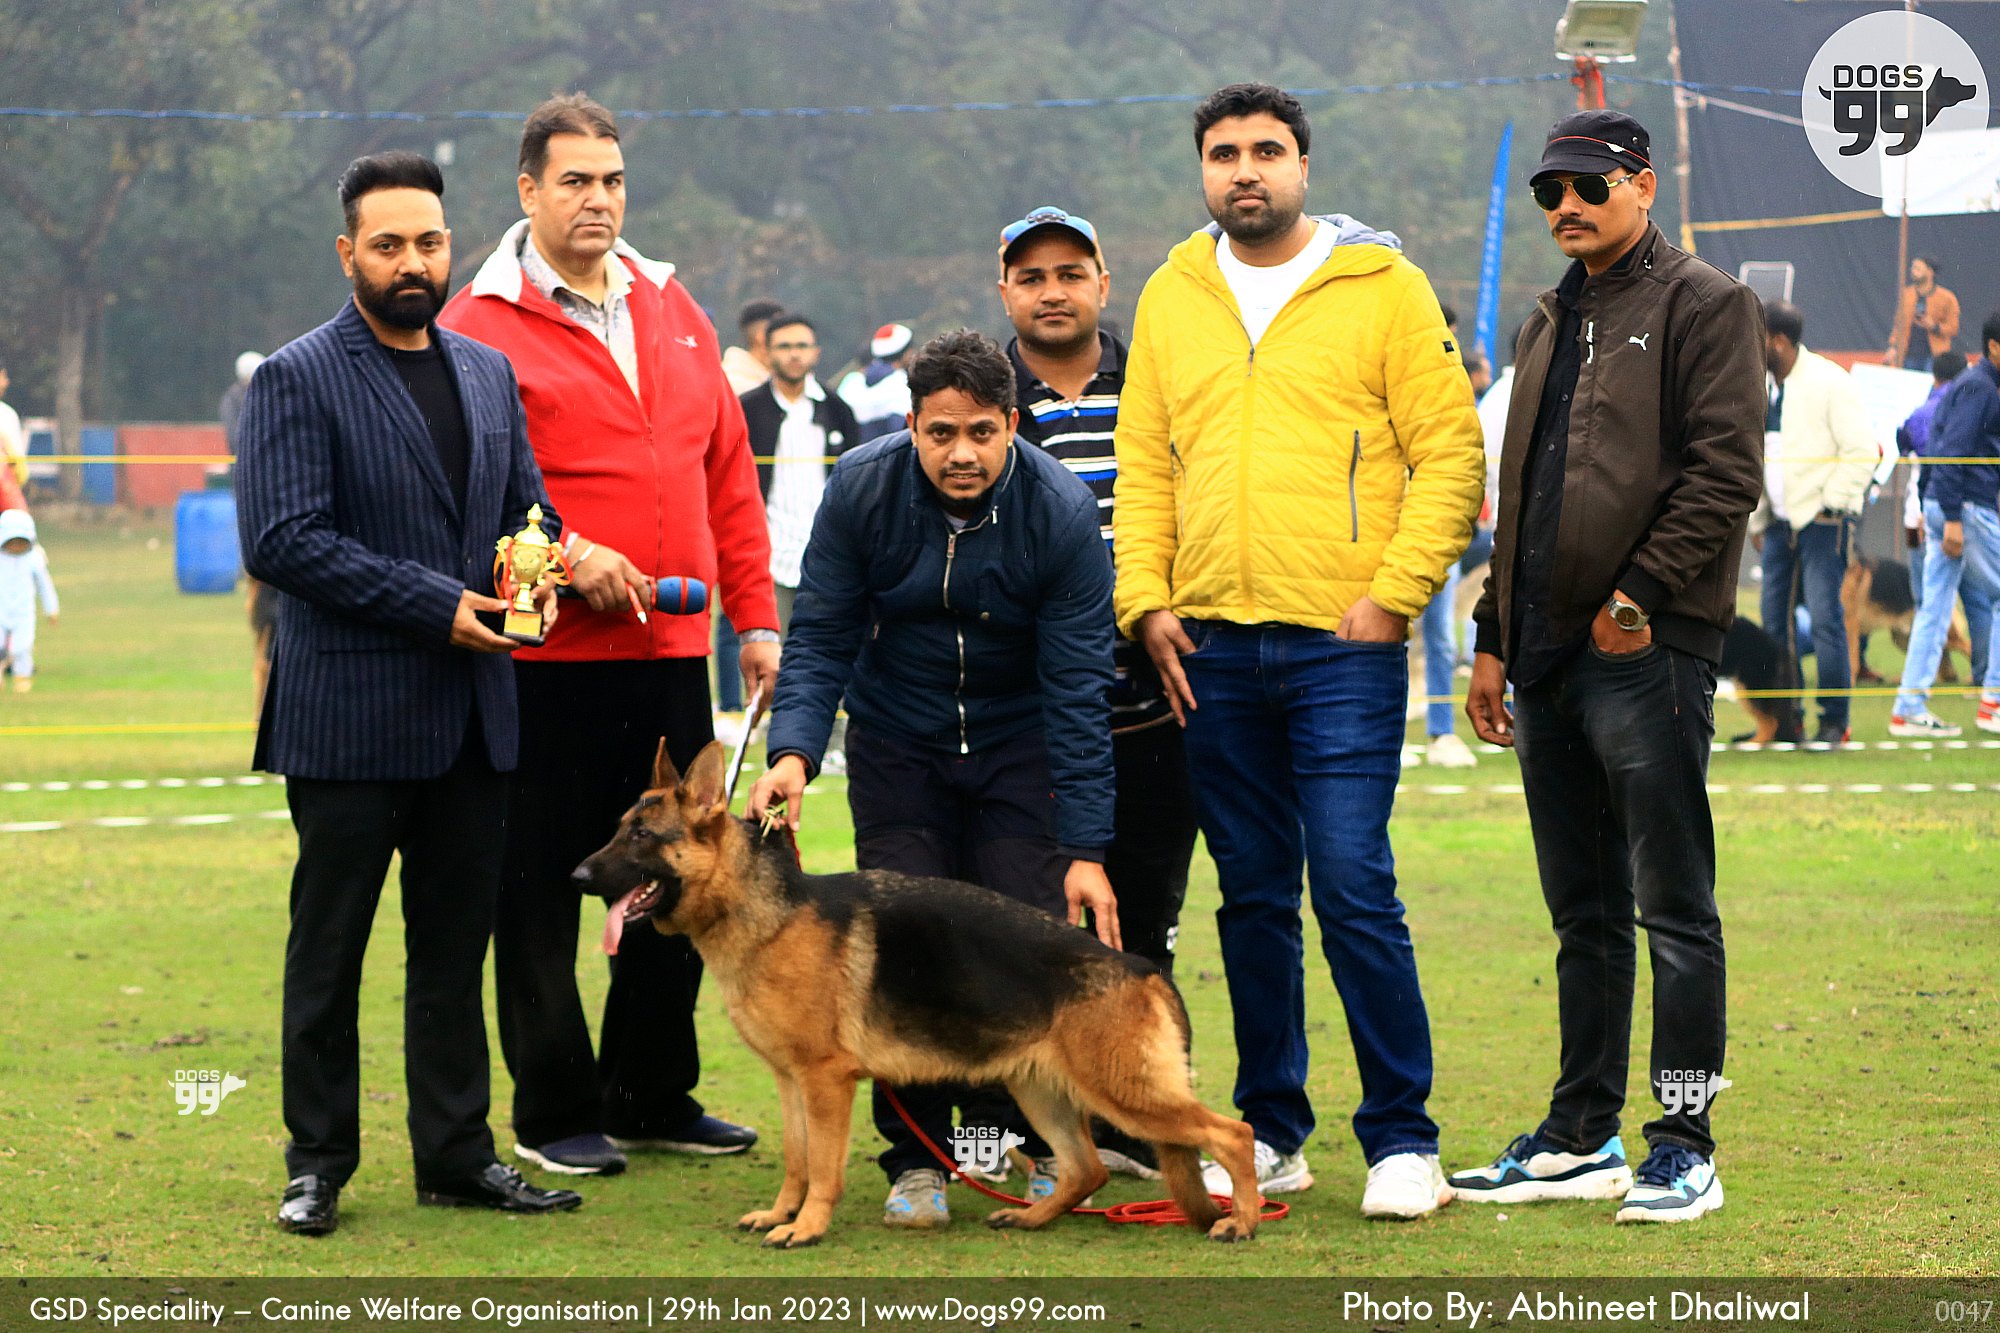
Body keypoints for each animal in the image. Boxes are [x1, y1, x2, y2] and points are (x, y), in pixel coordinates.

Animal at [572, 741, 1260, 1250]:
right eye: (620, 830)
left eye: (642, 837)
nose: (576, 876)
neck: (764, 912)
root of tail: (1140, 965)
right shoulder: (791, 1081)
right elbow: (796, 1159)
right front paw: (780, 1214)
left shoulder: (827, 1082)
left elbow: (823, 1168)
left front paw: (807, 1227)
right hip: (1042, 1091)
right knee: (1085, 1168)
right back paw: (1032, 1217)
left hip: (1125, 1094)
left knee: (1234, 1132)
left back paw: (1244, 1220)